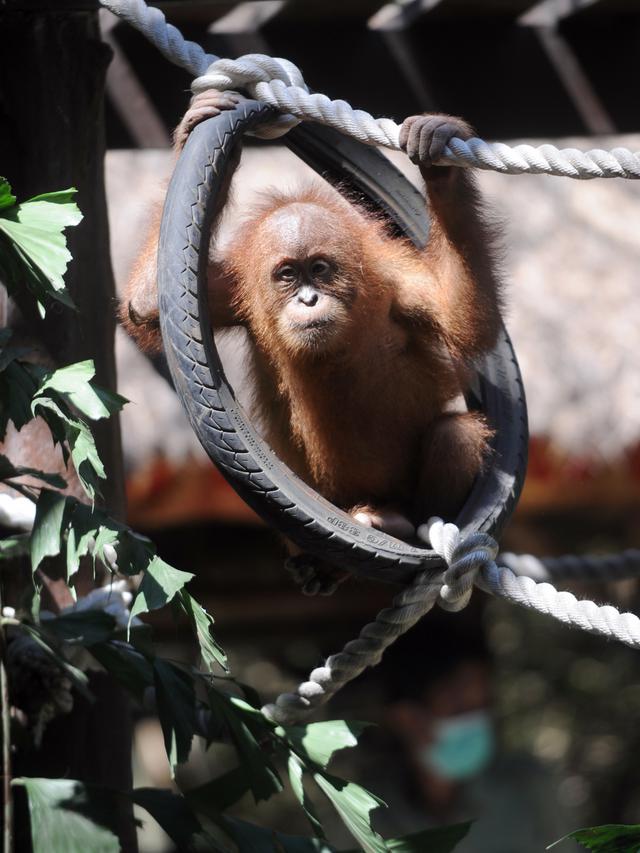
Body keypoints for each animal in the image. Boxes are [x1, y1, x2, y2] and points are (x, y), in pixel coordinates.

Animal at [121, 91, 502, 550]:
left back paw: (399, 522)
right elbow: (146, 304)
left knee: (456, 436)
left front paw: (439, 156)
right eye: (288, 274)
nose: (308, 299)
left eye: (319, 269)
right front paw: (204, 125)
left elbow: (462, 319)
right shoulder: (231, 290)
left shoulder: (398, 279)